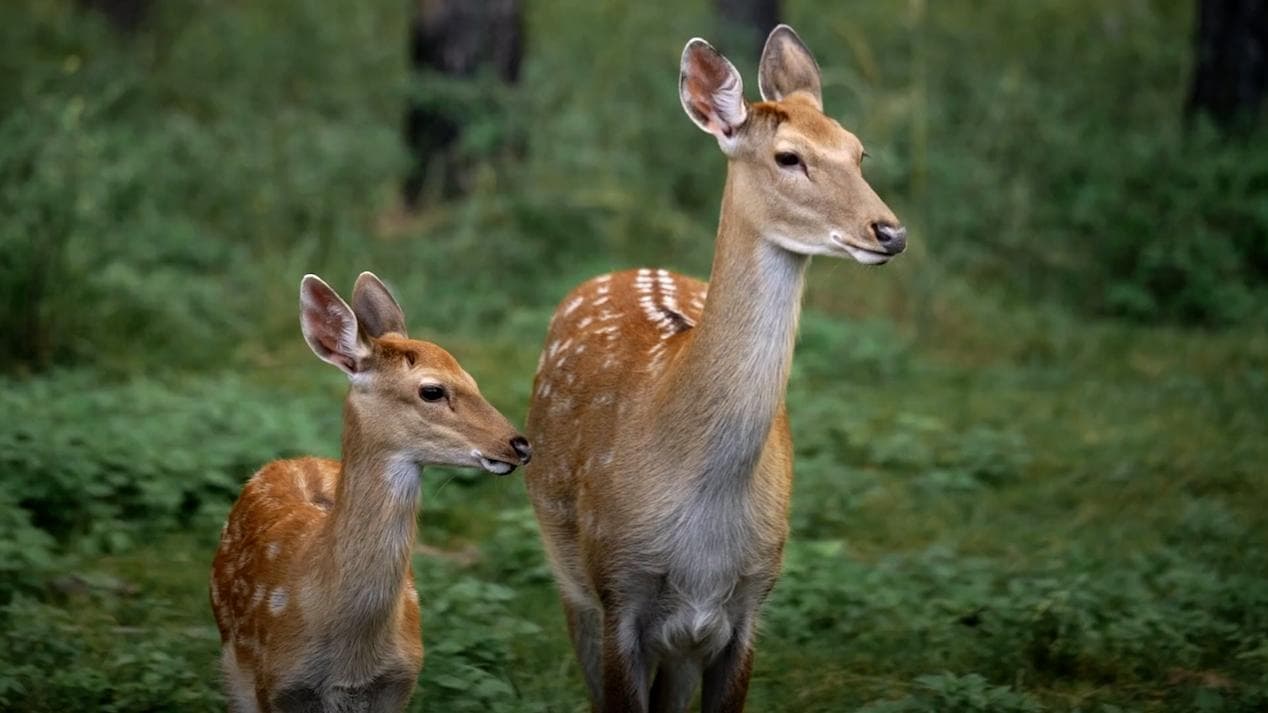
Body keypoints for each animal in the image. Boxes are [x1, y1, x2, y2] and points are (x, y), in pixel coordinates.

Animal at [523, 25, 906, 713]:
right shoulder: (616, 585)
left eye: (858, 152)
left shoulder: (751, 601)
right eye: (788, 158)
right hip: (570, 580)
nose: (889, 232)